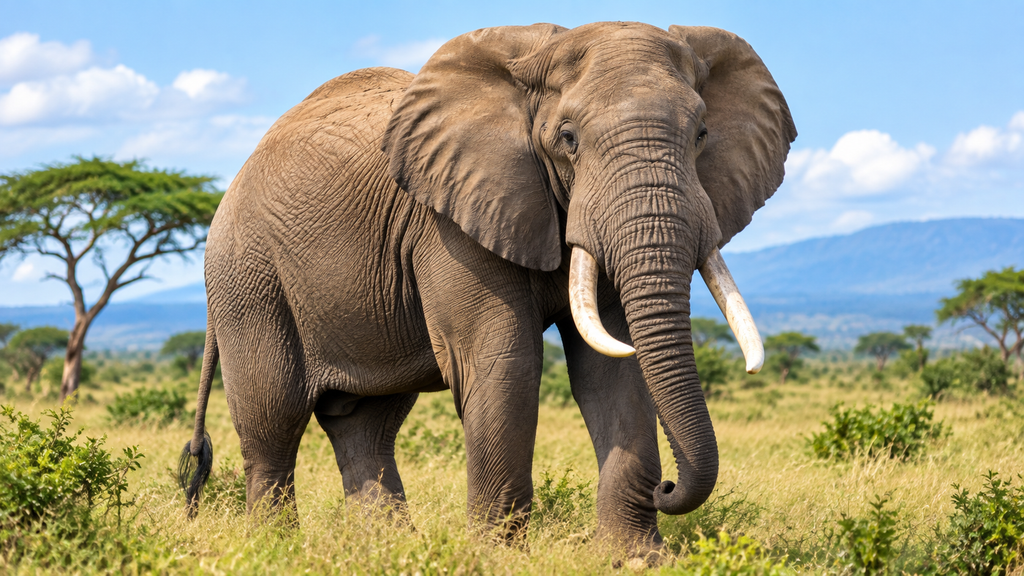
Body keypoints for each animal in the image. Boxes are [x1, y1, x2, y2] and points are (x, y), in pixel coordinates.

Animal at [178, 21, 795, 550]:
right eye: (568, 139)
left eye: (702, 134)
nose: (667, 490)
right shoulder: (448, 222)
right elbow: (505, 362)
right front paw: (497, 556)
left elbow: (614, 366)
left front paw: (636, 559)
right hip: (248, 277)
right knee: (273, 422)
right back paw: (275, 548)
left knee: (365, 426)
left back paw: (387, 551)